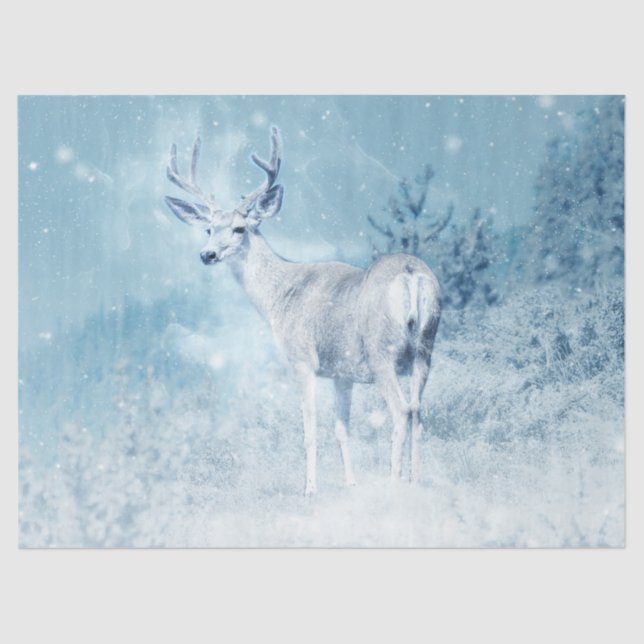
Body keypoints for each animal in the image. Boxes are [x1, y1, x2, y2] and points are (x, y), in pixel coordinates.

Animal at [165, 126, 441, 495]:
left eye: (239, 228)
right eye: (208, 228)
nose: (207, 254)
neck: (280, 295)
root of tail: (411, 274)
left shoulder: (302, 359)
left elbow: (309, 430)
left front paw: (310, 489)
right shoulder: (342, 373)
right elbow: (341, 429)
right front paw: (350, 483)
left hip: (382, 351)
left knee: (402, 411)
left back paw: (394, 483)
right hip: (425, 348)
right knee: (419, 411)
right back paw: (415, 481)